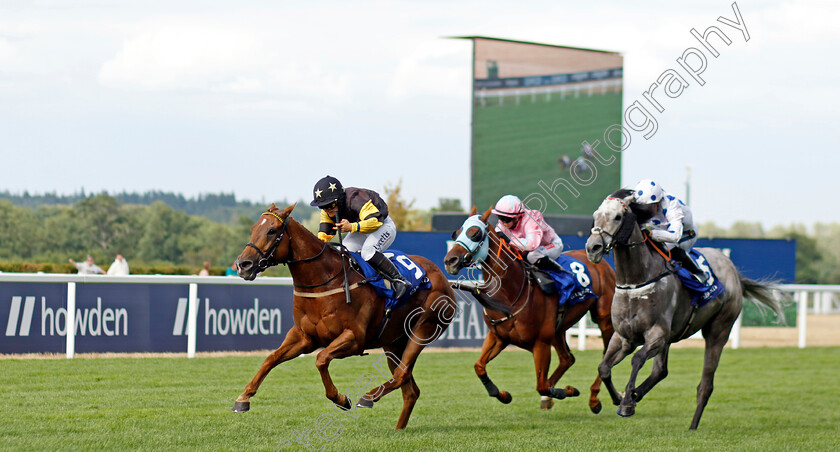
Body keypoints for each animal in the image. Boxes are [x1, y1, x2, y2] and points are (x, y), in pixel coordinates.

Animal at [230, 203, 456, 430]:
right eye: (253, 229)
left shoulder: (354, 339)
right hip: (393, 342)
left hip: (424, 328)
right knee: (410, 389)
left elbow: (321, 359)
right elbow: (271, 358)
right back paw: (398, 427)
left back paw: (368, 397)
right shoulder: (303, 337)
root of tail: (443, 277)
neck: (325, 280)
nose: (243, 264)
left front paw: (341, 398)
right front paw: (243, 399)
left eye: (272, 230)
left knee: (402, 374)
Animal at [442, 208, 612, 414]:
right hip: (558, 329)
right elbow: (479, 366)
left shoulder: (540, 343)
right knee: (567, 359)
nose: (450, 260)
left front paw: (567, 390)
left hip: (604, 318)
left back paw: (597, 399)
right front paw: (502, 394)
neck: (512, 293)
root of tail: (600, 262)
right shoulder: (498, 337)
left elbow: (541, 385)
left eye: (475, 233)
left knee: (605, 355)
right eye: (456, 233)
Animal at [584, 189, 788, 430]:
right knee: (660, 371)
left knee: (705, 385)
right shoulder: (624, 337)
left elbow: (637, 359)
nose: (593, 248)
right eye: (595, 215)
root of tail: (734, 272)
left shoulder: (657, 335)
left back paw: (692, 425)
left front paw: (626, 403)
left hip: (718, 331)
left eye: (617, 217)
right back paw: (637, 394)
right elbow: (603, 367)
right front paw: (620, 397)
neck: (636, 281)